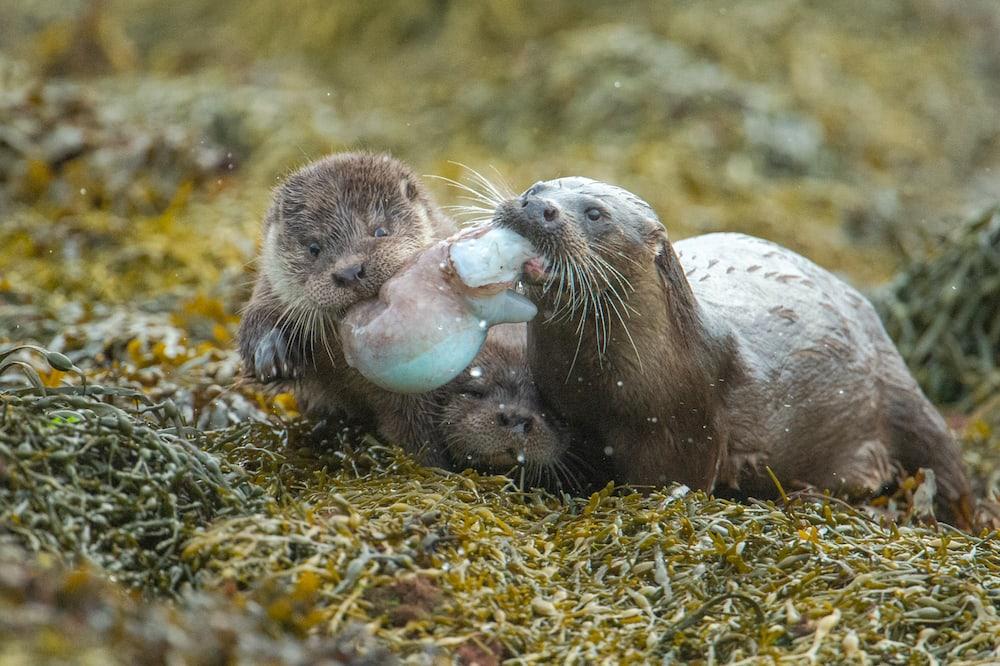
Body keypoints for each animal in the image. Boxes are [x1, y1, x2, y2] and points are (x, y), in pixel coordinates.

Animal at [492, 178, 976, 528]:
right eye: (537, 188)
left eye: (595, 213)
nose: (537, 207)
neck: (597, 385)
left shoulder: (686, 426)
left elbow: (670, 482)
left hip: (901, 393)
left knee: (946, 460)